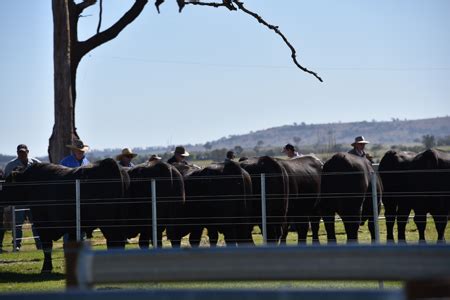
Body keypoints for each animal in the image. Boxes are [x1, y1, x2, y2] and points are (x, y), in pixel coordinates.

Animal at [0, 158, 130, 274]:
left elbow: (47, 247)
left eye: (7, 183)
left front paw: (46, 269)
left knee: (114, 241)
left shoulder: (42, 224)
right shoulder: (71, 228)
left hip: (108, 223)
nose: (1, 198)